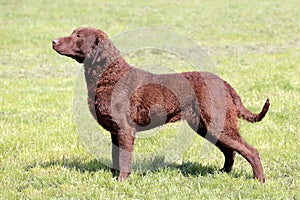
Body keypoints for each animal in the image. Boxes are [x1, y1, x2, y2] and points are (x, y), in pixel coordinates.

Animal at [52, 27, 270, 183]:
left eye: (78, 36)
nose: (53, 41)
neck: (108, 75)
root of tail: (223, 82)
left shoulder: (125, 130)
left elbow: (124, 160)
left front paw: (122, 181)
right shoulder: (115, 131)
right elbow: (116, 157)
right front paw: (114, 178)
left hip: (218, 124)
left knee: (250, 151)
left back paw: (258, 180)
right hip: (205, 126)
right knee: (230, 151)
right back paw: (222, 173)